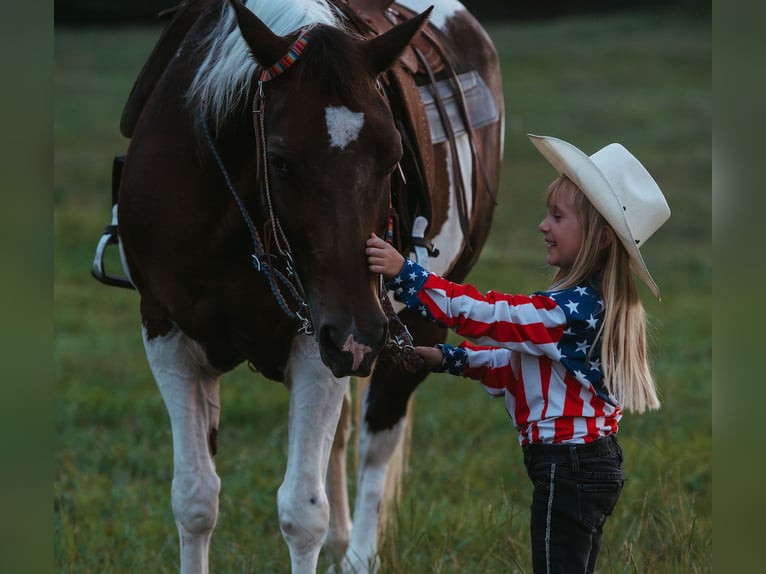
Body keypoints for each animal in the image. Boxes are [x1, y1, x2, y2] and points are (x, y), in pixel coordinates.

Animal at [96, 0, 504, 572]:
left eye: (393, 156)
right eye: (281, 160)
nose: (358, 330)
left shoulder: (323, 339)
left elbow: (301, 511)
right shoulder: (167, 331)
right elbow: (194, 499)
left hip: (405, 328)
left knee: (377, 437)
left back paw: (358, 554)